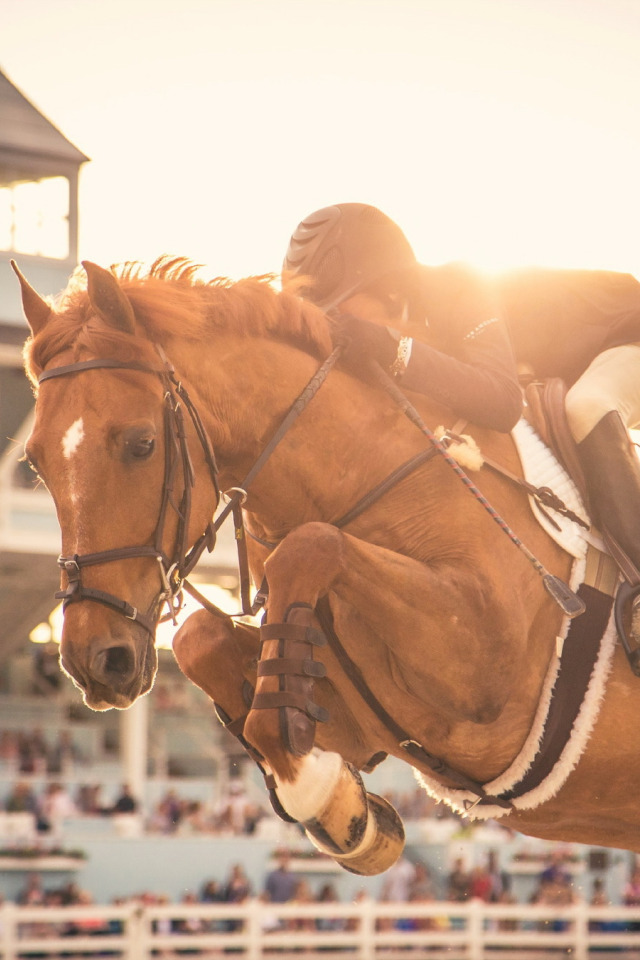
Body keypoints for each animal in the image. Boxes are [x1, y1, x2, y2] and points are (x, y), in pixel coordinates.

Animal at [13, 258, 640, 872]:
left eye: (141, 444)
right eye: (35, 463)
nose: (97, 660)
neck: (364, 471)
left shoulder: (486, 659)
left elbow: (312, 544)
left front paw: (317, 791)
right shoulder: (367, 718)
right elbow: (198, 639)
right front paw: (341, 803)